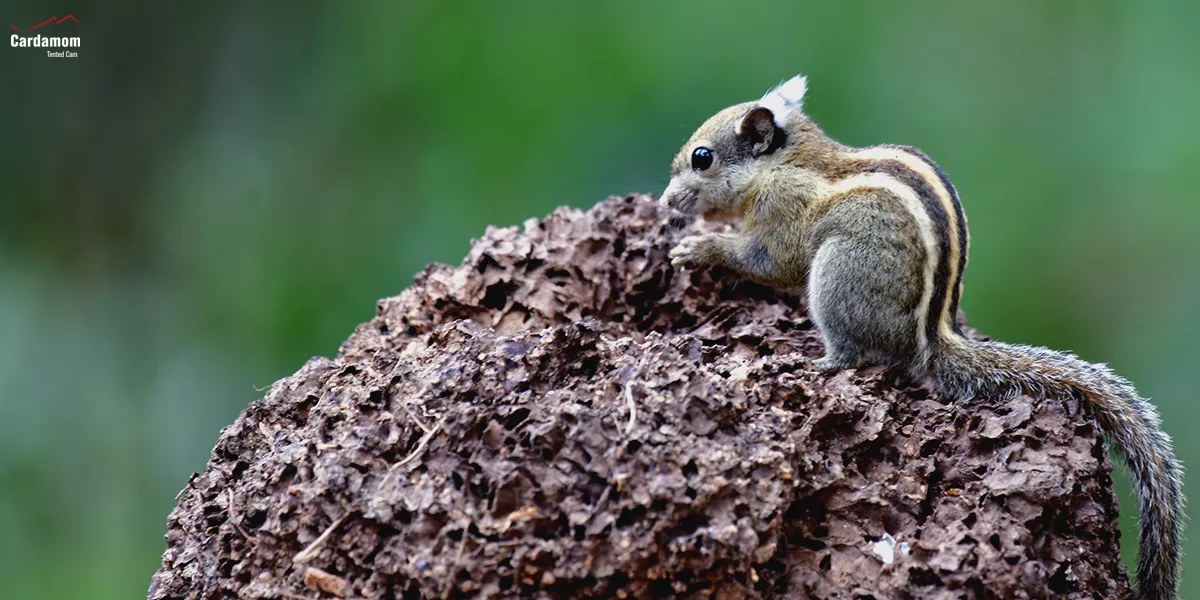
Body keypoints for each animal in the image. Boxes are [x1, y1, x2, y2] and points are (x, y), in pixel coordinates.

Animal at [660, 75, 1183, 599]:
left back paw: (817, 361)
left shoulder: (781, 214)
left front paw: (699, 248)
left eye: (702, 158)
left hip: (836, 274)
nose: (665, 202)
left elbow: (770, 261)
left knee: (851, 353)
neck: (784, 163)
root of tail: (929, 338)